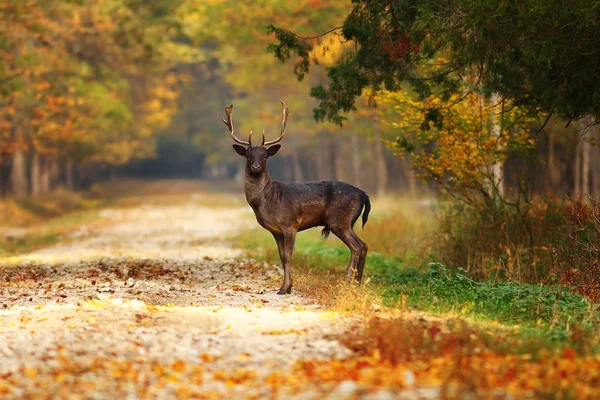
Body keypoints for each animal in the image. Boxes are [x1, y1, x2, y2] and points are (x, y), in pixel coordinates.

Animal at [223, 101, 368, 294]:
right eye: (248, 155)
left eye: (265, 155)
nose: (255, 166)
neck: (268, 202)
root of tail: (363, 194)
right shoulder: (276, 231)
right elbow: (281, 255)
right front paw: (286, 286)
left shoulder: (290, 224)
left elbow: (287, 255)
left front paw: (285, 288)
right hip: (346, 222)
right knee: (364, 245)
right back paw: (358, 283)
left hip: (340, 220)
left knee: (357, 247)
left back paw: (346, 282)